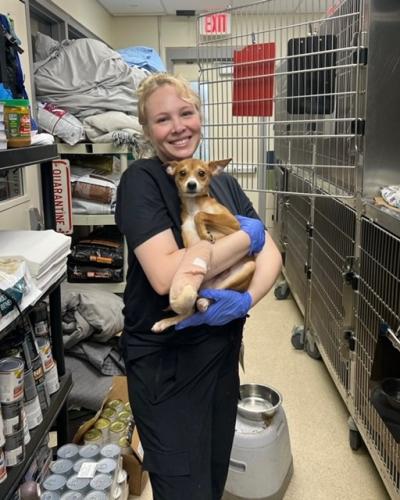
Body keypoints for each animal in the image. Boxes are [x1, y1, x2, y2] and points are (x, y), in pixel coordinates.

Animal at [152, 158, 255, 334]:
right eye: (182, 173)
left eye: (202, 173)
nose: (192, 185)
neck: (194, 205)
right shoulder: (189, 242)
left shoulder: (234, 225)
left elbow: (202, 215)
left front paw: (204, 233)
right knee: (190, 311)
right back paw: (164, 322)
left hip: (246, 269)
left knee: (217, 295)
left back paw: (206, 303)